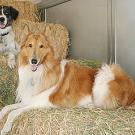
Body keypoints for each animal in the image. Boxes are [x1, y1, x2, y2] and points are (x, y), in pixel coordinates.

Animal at [0, 33, 135, 134]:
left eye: (41, 46)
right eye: (30, 45)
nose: (34, 61)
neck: (39, 72)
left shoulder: (41, 103)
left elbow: (14, 112)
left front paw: (5, 128)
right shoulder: (28, 100)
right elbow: (7, 108)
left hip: (106, 74)